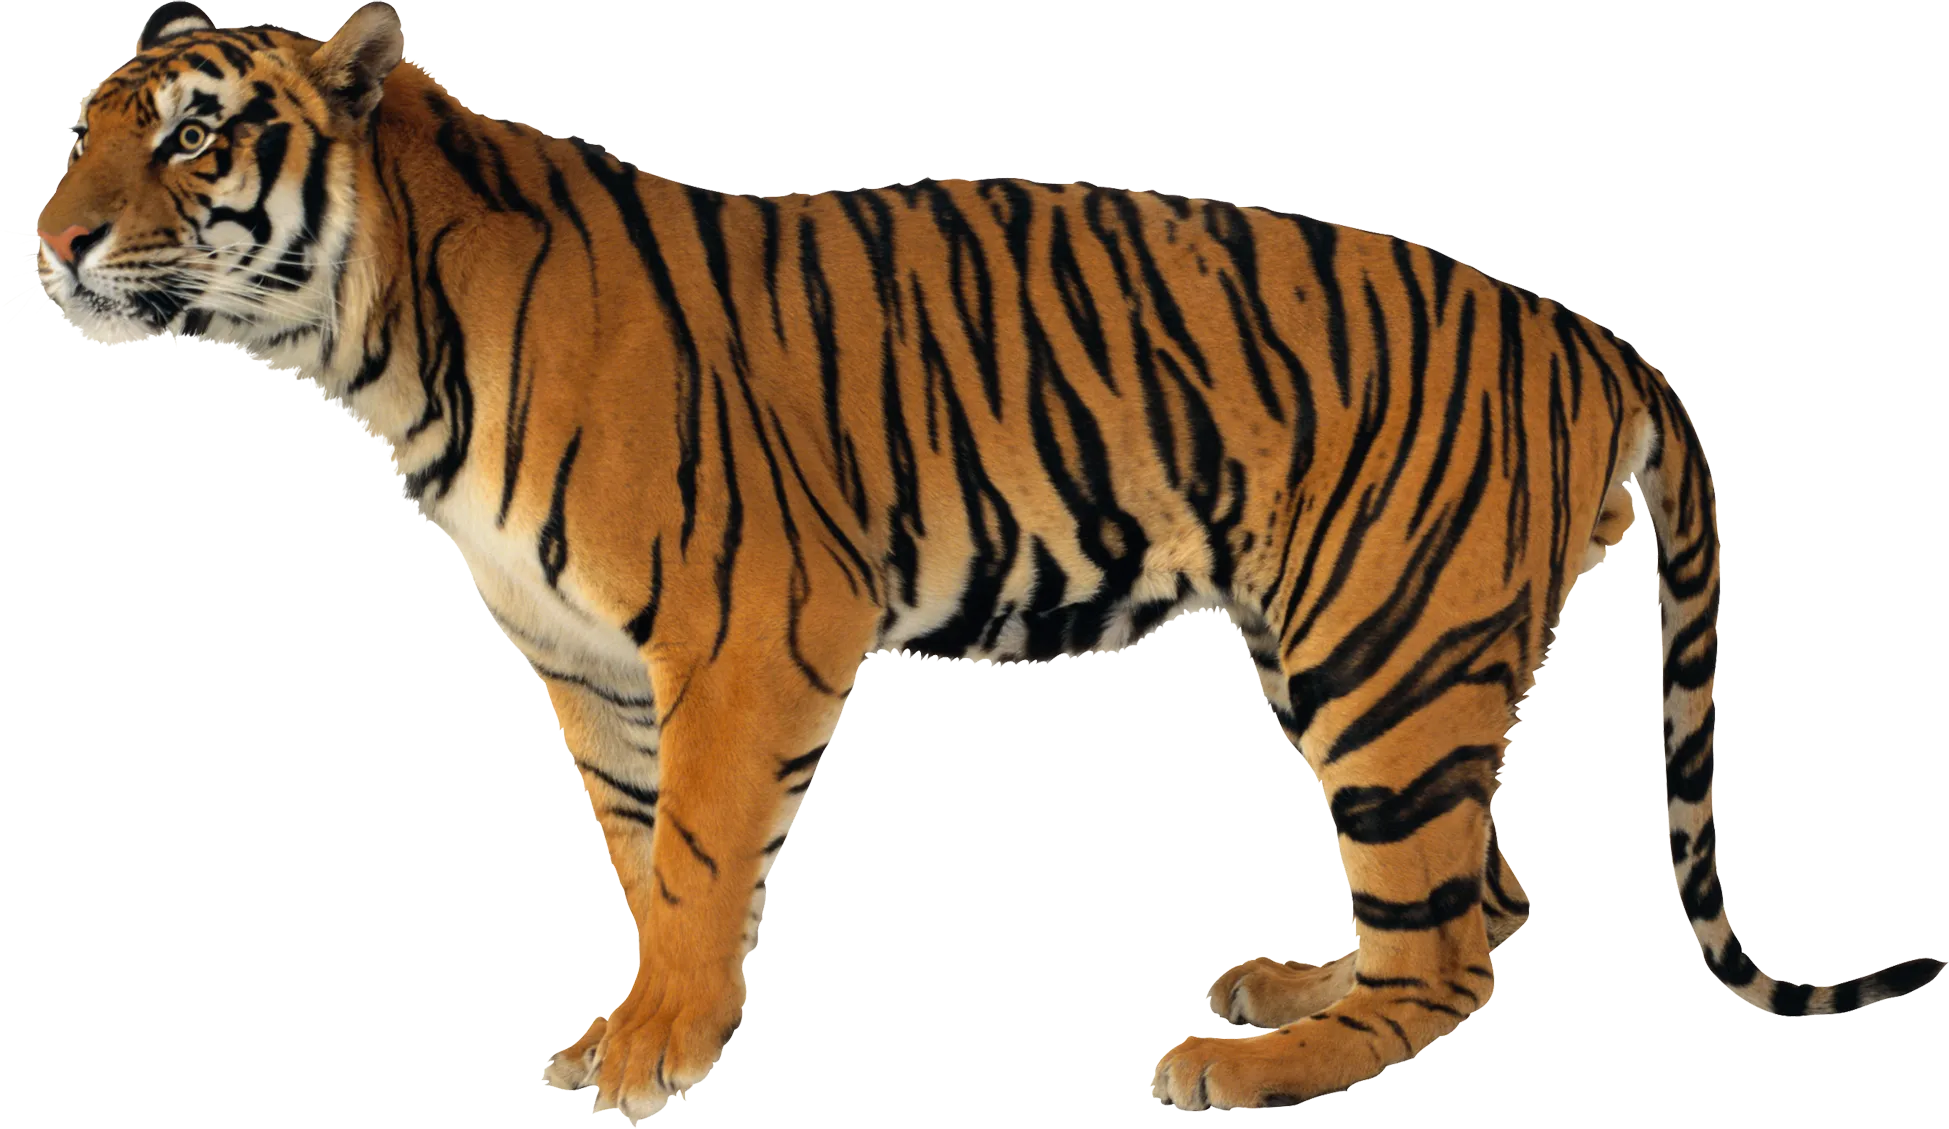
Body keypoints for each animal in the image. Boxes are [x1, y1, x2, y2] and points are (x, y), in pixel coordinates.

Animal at [35, 1, 1943, 1118]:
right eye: (80, 132)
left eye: (193, 135)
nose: (46, 243)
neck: (373, 345)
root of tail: (1591, 327)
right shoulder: (585, 666)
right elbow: (636, 854)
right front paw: (644, 1017)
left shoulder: (746, 625)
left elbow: (700, 851)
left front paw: (664, 1042)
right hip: (1368, 651)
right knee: (1483, 887)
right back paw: (1283, 982)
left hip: (1381, 650)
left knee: (1450, 942)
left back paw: (1249, 1058)